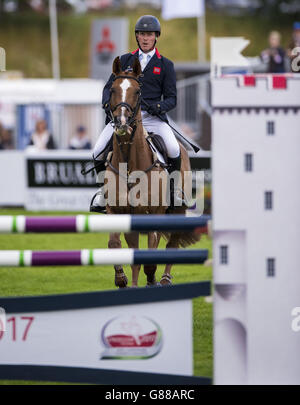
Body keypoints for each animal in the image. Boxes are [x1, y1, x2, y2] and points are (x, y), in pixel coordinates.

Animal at [103, 56, 199, 288]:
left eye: (138, 91)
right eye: (112, 89)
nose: (121, 123)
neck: (130, 162)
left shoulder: (154, 213)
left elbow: (150, 259)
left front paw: (151, 280)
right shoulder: (117, 211)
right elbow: (115, 245)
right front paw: (122, 279)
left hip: (177, 210)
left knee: (172, 244)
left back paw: (164, 279)